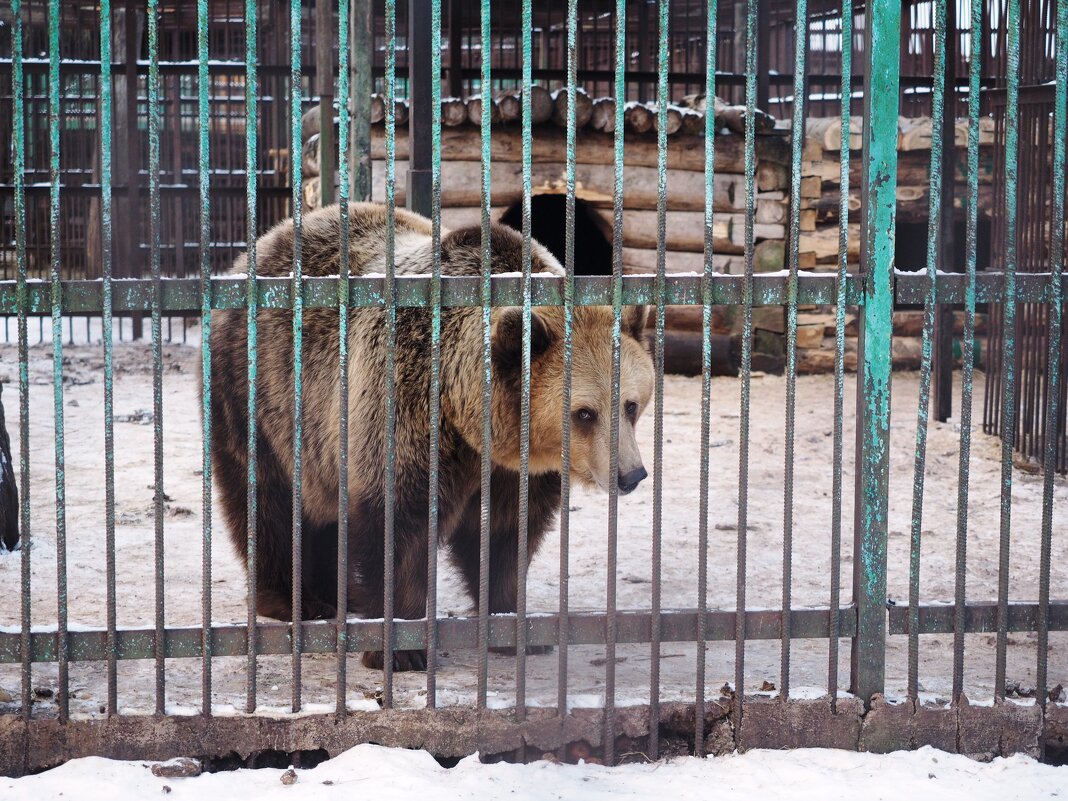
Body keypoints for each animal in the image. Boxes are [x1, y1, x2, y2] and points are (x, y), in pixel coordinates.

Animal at [209, 201, 653, 670]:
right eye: (584, 413)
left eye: (630, 405)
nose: (631, 474)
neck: (470, 417)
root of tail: (261, 244)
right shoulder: (406, 406)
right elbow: (401, 522)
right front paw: (402, 646)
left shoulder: (514, 469)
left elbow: (508, 534)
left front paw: (517, 627)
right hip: (259, 393)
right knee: (266, 496)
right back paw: (295, 599)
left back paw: (340, 593)